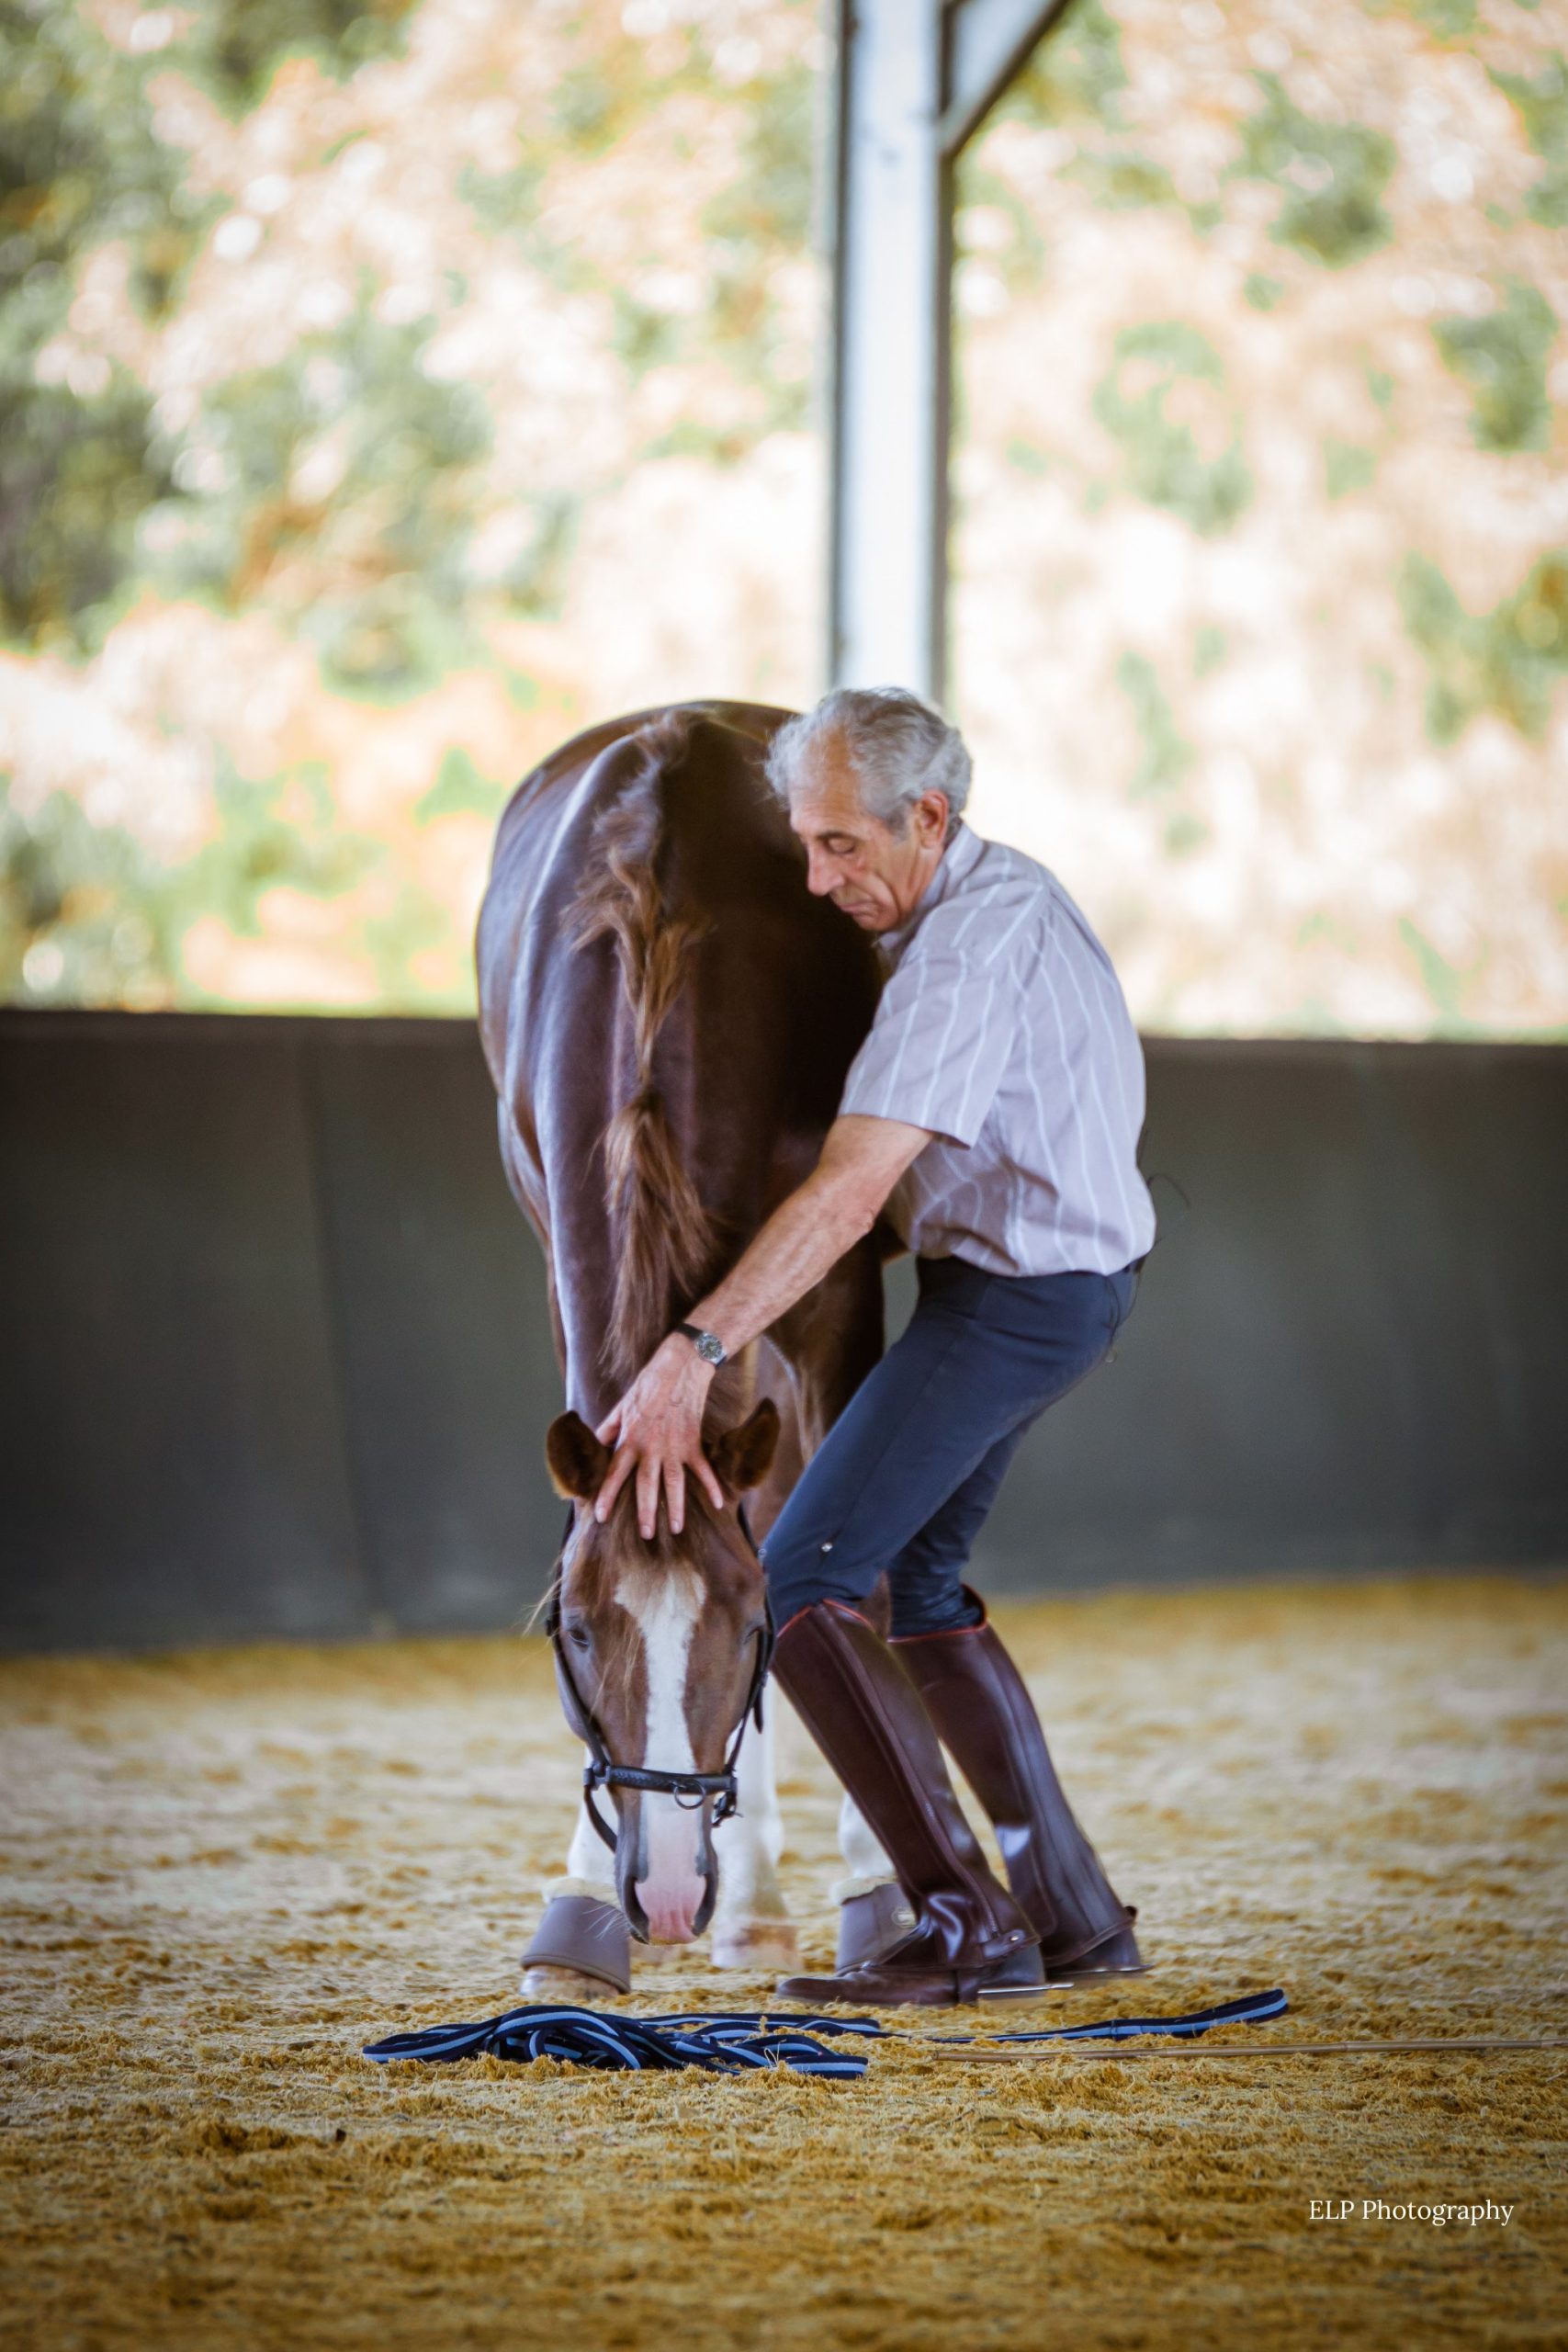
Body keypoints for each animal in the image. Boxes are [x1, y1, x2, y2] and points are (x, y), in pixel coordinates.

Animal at [476, 701, 893, 1994]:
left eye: (753, 1627)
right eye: (572, 1629)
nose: (662, 1893)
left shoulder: (837, 1298)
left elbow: (852, 1577)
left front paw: (878, 1888)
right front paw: (576, 1910)